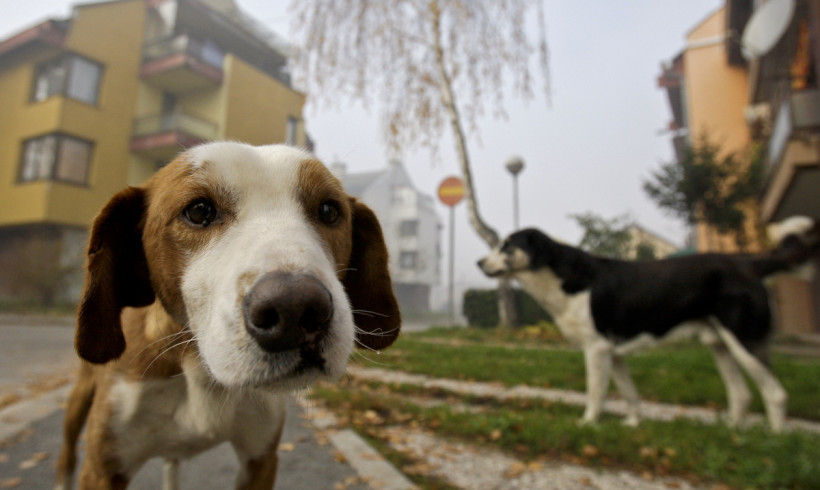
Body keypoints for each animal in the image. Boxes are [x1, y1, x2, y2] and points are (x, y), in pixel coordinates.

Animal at [54, 140, 400, 488]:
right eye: (198, 211)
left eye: (329, 211)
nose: (297, 310)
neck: (199, 368)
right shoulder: (103, 469)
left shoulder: (260, 459)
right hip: (80, 400)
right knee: (67, 452)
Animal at [478, 216, 816, 430]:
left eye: (507, 246)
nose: (478, 262)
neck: (562, 277)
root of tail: (748, 262)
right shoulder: (613, 353)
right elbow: (630, 394)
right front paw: (632, 423)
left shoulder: (597, 349)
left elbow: (595, 392)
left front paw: (587, 423)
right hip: (720, 344)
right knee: (742, 395)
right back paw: (733, 433)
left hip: (744, 340)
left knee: (775, 394)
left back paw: (774, 440)